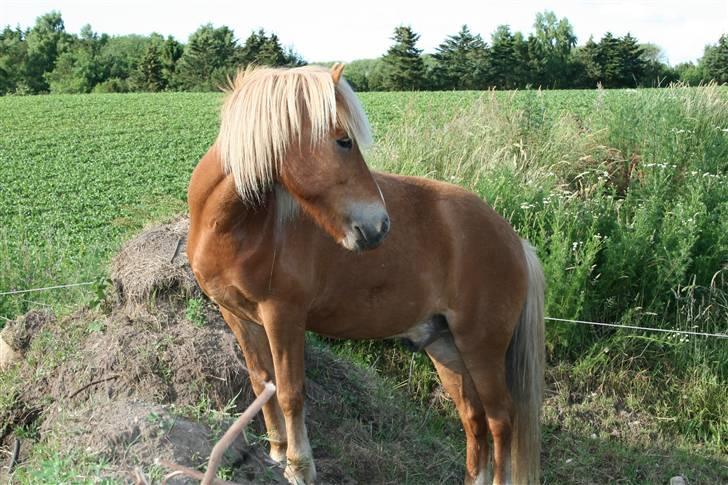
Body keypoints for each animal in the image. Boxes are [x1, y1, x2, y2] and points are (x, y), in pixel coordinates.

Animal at [188, 64, 540, 484]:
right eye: (343, 141)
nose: (379, 226)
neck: (236, 227)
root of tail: (513, 239)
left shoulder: (283, 316)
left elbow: (290, 391)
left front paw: (299, 467)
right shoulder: (237, 316)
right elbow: (262, 382)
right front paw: (276, 451)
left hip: (481, 347)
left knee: (501, 421)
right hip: (446, 347)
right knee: (474, 419)